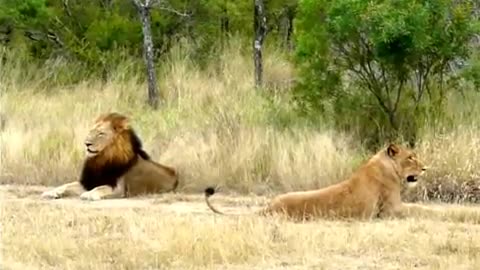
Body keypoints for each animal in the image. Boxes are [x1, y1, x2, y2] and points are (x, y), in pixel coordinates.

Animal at [41, 112, 178, 200]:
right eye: (92, 131)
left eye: (101, 134)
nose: (86, 143)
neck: (102, 158)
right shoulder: (89, 182)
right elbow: (66, 185)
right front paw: (51, 192)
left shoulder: (119, 189)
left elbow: (101, 188)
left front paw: (89, 195)